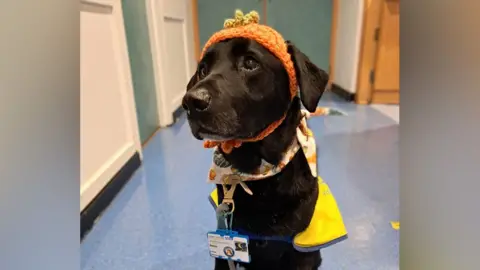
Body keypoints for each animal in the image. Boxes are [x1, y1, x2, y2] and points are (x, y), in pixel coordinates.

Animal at [182, 38, 328, 270]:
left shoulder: (302, 251)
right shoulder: (225, 255)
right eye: (202, 69)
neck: (259, 176)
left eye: (250, 63)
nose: (191, 102)